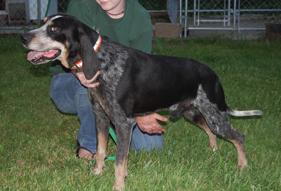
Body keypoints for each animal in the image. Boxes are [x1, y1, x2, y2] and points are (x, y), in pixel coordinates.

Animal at [20, 14, 262, 190]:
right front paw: (97, 173)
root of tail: (213, 75)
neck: (102, 62)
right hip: (193, 113)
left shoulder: (123, 123)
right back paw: (213, 152)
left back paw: (242, 166)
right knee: (211, 132)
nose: (23, 37)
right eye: (43, 23)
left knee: (239, 136)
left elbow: (119, 161)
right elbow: (101, 150)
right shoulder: (101, 118)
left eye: (54, 29)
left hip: (214, 115)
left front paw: (118, 186)